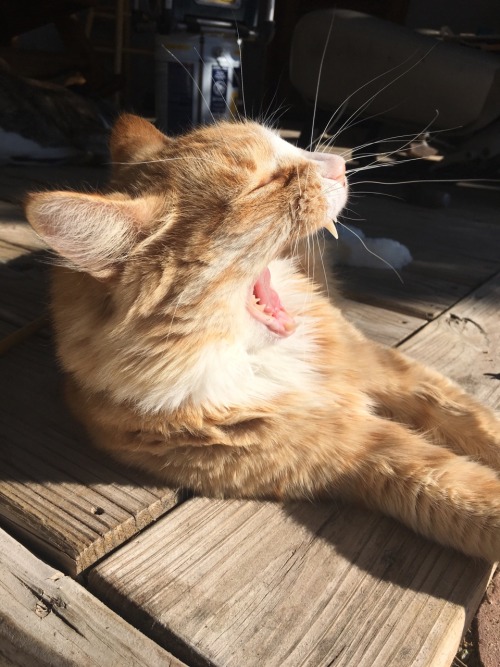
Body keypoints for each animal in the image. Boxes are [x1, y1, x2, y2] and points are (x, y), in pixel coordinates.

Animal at [24, 116, 500, 564]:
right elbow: (463, 489)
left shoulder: (380, 365)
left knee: (347, 240)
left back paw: (391, 252)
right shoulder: (356, 450)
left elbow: (473, 420)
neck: (253, 356)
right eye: (262, 184)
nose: (338, 165)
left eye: (287, 148)